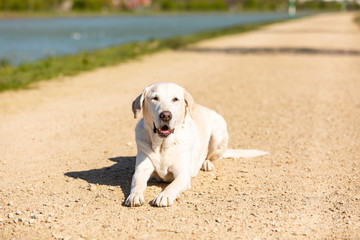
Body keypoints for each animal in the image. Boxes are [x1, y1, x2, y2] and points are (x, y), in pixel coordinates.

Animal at [125, 82, 266, 206]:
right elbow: (137, 184)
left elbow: (172, 186)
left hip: (217, 134)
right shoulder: (141, 171)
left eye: (175, 99)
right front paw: (134, 196)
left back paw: (206, 163)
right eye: (154, 98)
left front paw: (164, 196)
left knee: (210, 156)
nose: (165, 115)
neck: (163, 146)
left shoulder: (182, 175)